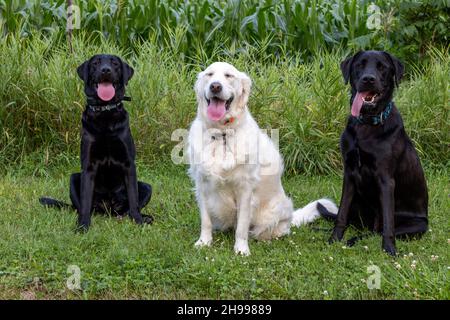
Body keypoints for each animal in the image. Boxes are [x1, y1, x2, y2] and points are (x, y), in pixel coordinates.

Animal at [40, 54, 153, 230]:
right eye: (95, 63)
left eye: (115, 63)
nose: (106, 70)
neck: (105, 113)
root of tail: (109, 209)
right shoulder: (88, 166)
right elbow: (85, 201)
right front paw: (83, 226)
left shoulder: (129, 164)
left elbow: (133, 199)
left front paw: (138, 221)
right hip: (73, 179)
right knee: (81, 206)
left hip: (147, 186)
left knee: (128, 208)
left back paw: (143, 217)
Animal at [187, 62, 338, 255]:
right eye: (209, 74)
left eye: (228, 75)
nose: (215, 86)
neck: (222, 134)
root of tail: (290, 216)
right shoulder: (202, 184)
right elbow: (205, 220)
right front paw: (204, 242)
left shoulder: (245, 189)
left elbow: (242, 227)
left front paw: (241, 250)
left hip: (272, 214)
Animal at [318, 50, 428, 255]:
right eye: (359, 65)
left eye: (382, 67)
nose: (368, 79)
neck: (367, 125)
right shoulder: (349, 174)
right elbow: (341, 214)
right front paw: (334, 239)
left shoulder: (386, 180)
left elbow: (388, 224)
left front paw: (390, 249)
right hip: (357, 203)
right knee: (357, 224)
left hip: (417, 225)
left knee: (376, 231)